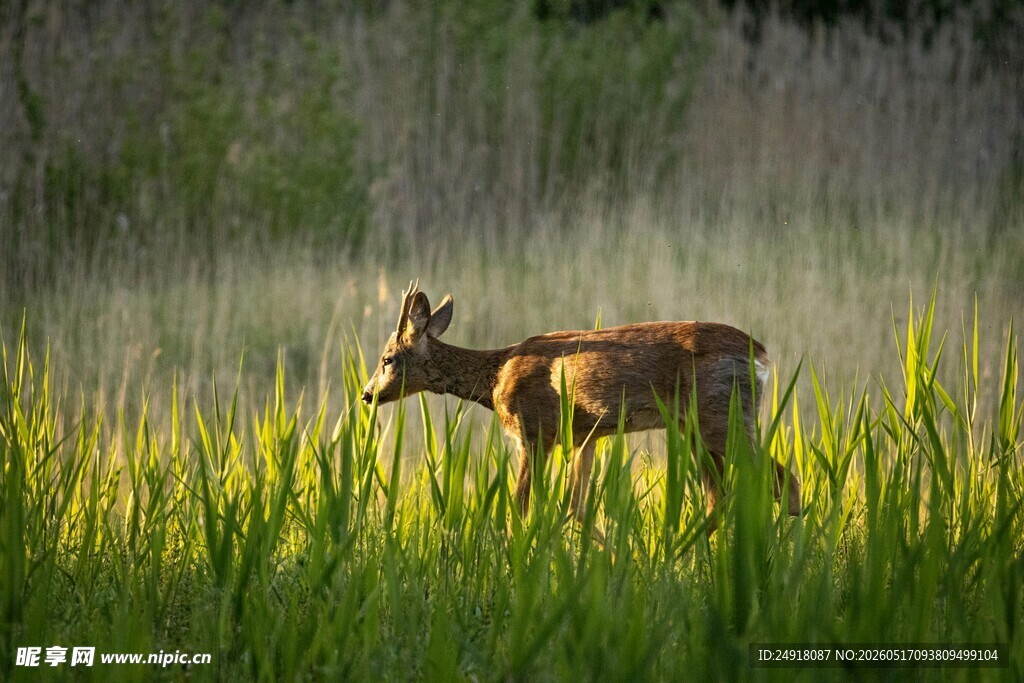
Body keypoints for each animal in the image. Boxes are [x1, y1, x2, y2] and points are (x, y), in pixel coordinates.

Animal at [361, 282, 802, 532]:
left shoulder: (534, 430)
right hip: (695, 426)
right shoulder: (584, 435)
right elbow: (577, 508)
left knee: (786, 481)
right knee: (722, 495)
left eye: (387, 359)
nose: (366, 395)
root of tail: (761, 355)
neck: (495, 376)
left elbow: (520, 508)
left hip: (721, 416)